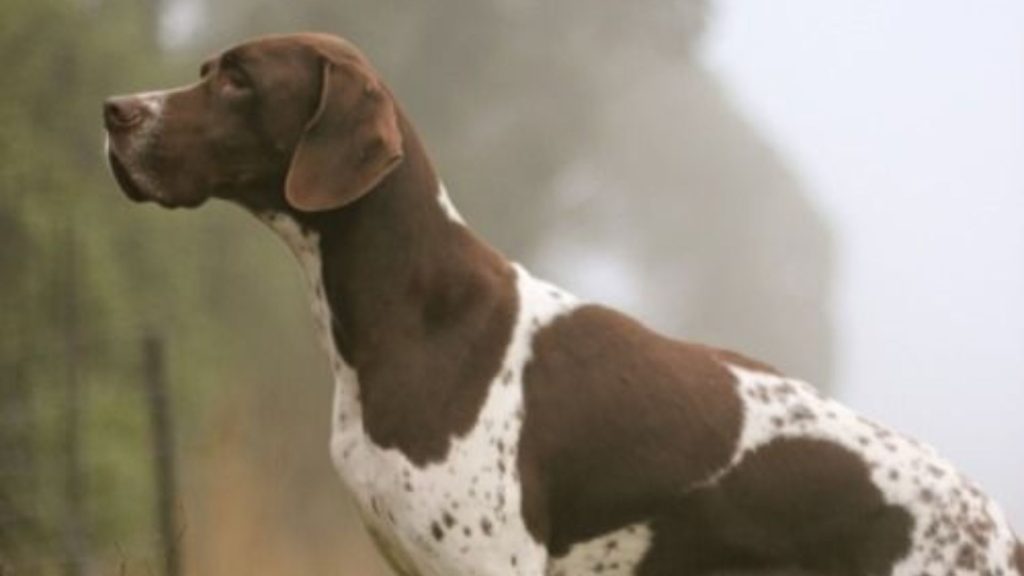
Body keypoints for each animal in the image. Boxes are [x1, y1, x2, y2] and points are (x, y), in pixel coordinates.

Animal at [101, 33, 1015, 573]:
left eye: (239, 81)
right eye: (205, 72)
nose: (113, 112)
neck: (411, 313)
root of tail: (1000, 526)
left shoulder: (489, 563)